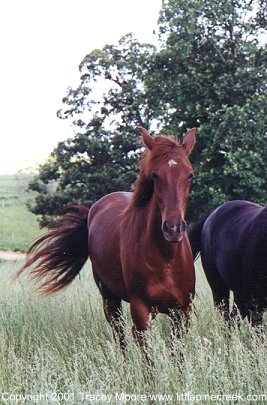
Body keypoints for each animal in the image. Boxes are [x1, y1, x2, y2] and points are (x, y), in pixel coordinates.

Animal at [17, 127, 197, 350]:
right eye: (155, 175)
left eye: (190, 175)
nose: (173, 228)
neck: (166, 259)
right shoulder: (141, 309)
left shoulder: (182, 311)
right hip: (110, 300)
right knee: (120, 335)